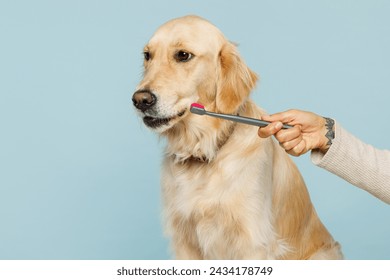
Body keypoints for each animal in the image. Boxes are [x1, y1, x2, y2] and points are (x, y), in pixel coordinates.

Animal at [133, 14, 342, 260]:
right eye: (147, 56)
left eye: (183, 55)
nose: (140, 100)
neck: (204, 150)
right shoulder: (184, 239)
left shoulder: (252, 240)